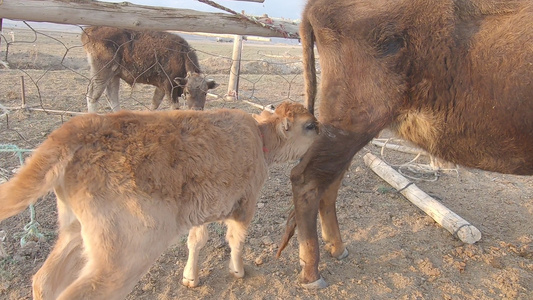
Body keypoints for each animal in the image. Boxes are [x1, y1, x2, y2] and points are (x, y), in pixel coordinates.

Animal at [0, 102, 316, 298]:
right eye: (310, 125)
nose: (323, 128)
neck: (260, 138)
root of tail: (84, 126)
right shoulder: (245, 202)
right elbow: (236, 239)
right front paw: (238, 271)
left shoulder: (202, 207)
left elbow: (196, 240)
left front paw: (190, 277)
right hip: (126, 254)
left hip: (75, 230)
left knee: (43, 281)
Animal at [81, 26, 218, 113]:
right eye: (188, 92)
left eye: (205, 93)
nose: (196, 110)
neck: (181, 55)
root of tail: (89, 30)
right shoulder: (169, 87)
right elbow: (174, 107)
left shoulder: (161, 87)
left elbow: (154, 103)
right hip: (102, 72)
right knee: (93, 95)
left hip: (114, 75)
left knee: (112, 96)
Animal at [284, 0, 532, 288]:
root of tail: (313, 6)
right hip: (353, 124)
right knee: (306, 179)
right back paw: (312, 273)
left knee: (329, 181)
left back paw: (338, 248)